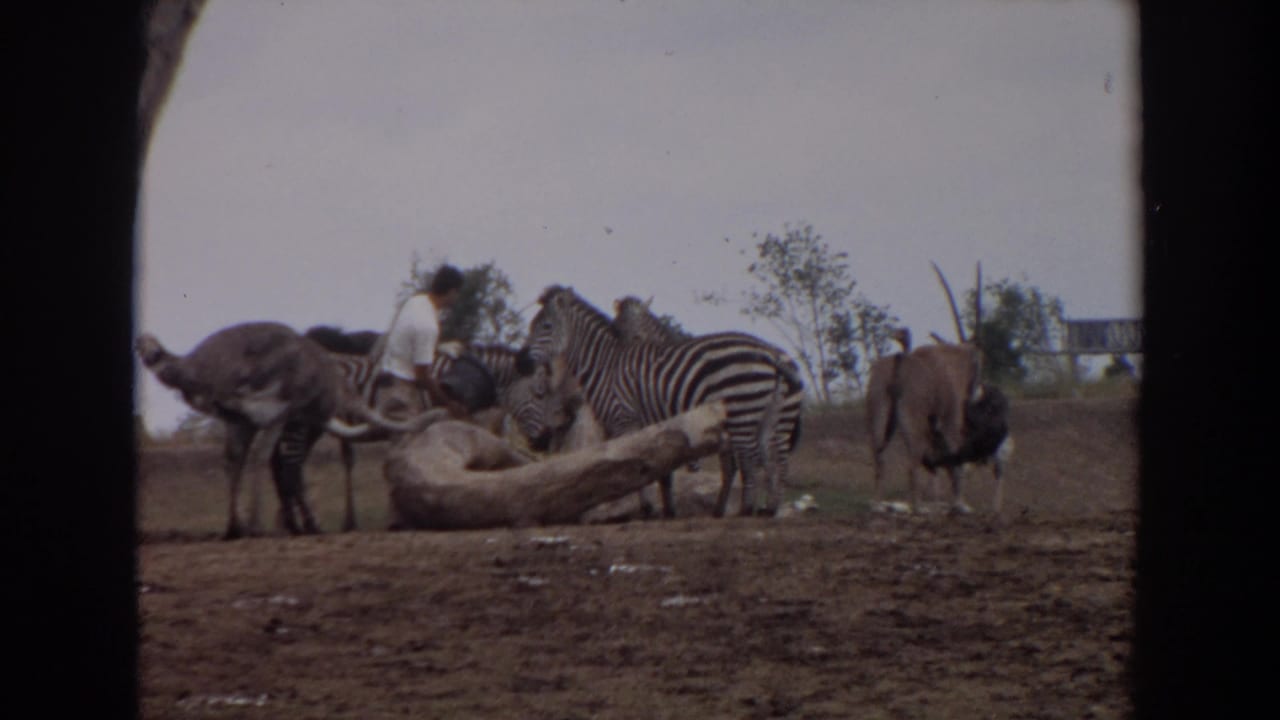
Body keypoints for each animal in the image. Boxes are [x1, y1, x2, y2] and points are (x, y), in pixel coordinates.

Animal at [516, 286, 804, 517]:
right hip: (766, 416)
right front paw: (667, 510)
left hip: (742, 410)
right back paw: (768, 508)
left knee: (751, 459)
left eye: (546, 327)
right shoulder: (655, 428)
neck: (606, 366)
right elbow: (659, 471)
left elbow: (627, 467)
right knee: (771, 458)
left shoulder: (624, 421)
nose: (521, 362)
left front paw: (647, 509)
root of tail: (769, 353)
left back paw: (746, 509)